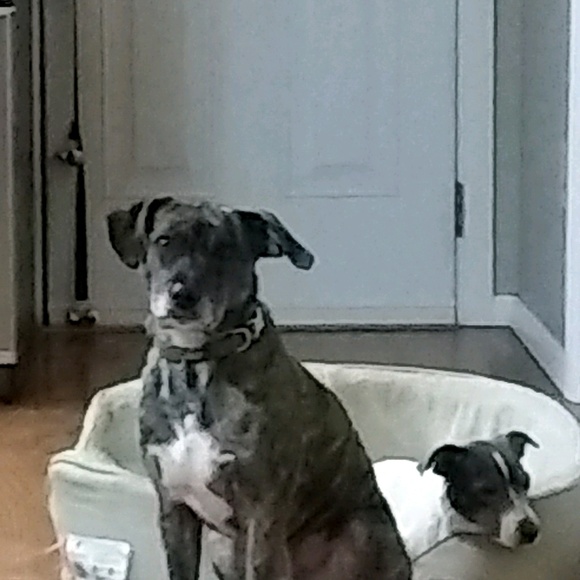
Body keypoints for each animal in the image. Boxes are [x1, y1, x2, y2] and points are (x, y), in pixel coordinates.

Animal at [107, 198, 412, 580]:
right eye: (164, 241)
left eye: (224, 250)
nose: (183, 295)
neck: (196, 366)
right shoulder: (174, 509)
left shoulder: (261, 518)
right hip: (222, 547)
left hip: (363, 532)